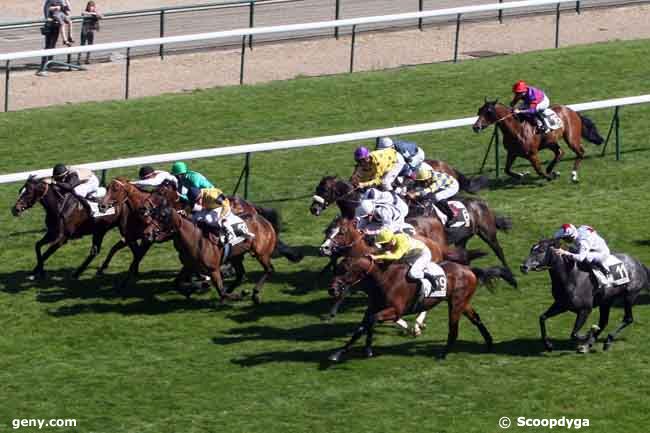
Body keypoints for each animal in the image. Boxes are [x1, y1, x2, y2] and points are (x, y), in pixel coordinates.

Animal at [146, 204, 278, 302]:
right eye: (152, 214)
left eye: (162, 216)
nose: (148, 233)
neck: (194, 239)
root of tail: (262, 219)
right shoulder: (188, 266)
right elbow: (176, 283)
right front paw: (192, 290)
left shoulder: (213, 269)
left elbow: (221, 292)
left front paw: (240, 294)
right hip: (236, 257)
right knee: (241, 275)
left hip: (261, 253)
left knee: (269, 269)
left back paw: (254, 294)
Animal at [326, 256, 508, 362]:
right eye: (335, 270)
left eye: (345, 270)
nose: (332, 290)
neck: (383, 280)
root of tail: (469, 269)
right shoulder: (372, 308)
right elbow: (362, 327)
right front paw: (340, 353)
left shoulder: (395, 311)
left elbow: (371, 321)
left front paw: (366, 349)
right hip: (462, 302)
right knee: (476, 318)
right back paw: (489, 343)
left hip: (456, 303)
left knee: (453, 329)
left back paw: (443, 354)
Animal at [470, 100, 604, 182]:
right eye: (479, 110)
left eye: (488, 112)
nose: (476, 127)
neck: (516, 129)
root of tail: (572, 111)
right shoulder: (512, 153)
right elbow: (507, 170)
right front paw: (522, 175)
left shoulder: (532, 154)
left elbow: (539, 170)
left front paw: (549, 176)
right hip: (550, 141)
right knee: (560, 152)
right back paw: (551, 169)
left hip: (571, 138)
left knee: (580, 152)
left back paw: (573, 175)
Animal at [520, 238, 648, 352]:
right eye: (532, 249)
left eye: (541, 250)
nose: (523, 267)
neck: (570, 277)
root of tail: (639, 263)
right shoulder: (561, 305)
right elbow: (542, 318)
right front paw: (548, 345)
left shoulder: (585, 309)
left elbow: (574, 333)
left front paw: (588, 334)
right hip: (606, 301)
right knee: (604, 322)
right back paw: (589, 344)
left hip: (629, 296)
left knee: (628, 319)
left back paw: (605, 341)